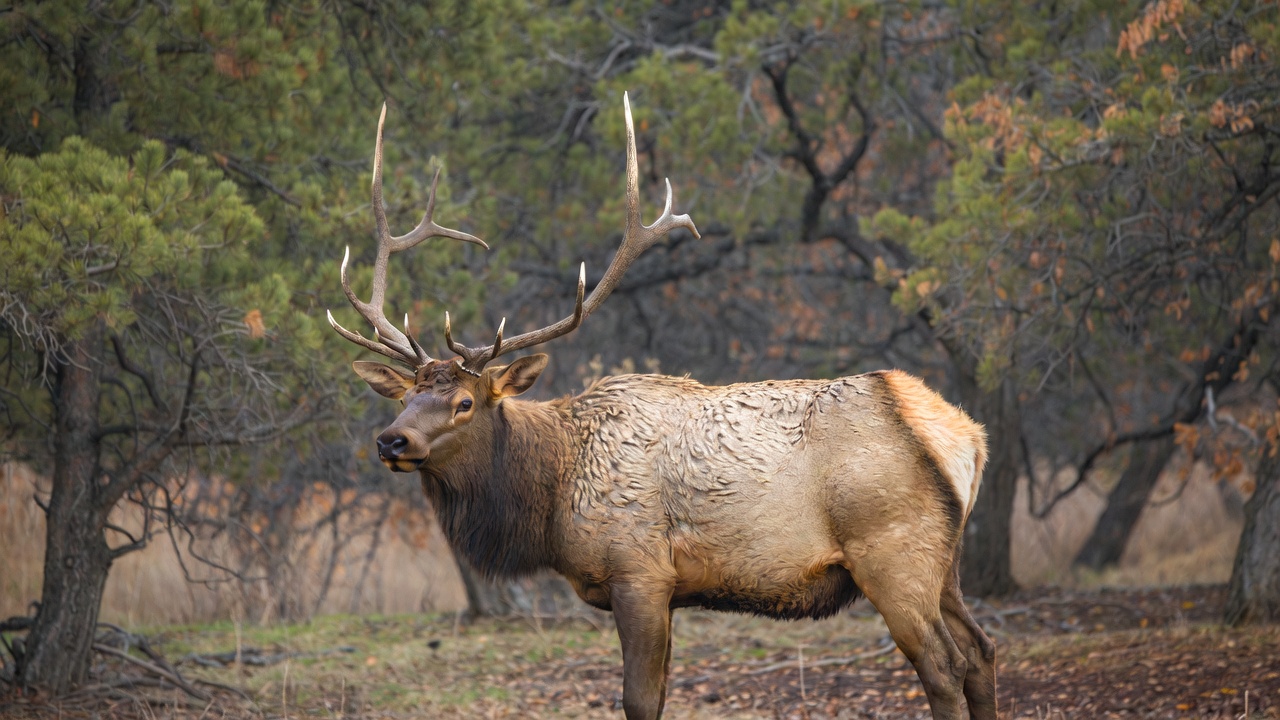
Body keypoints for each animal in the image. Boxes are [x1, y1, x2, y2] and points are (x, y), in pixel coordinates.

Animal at [328, 95, 997, 720]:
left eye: (466, 402)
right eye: (407, 395)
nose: (392, 441)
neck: (552, 498)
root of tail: (964, 435)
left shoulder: (639, 573)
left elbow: (640, 700)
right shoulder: (669, 589)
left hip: (892, 551)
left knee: (944, 664)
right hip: (947, 560)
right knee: (983, 650)